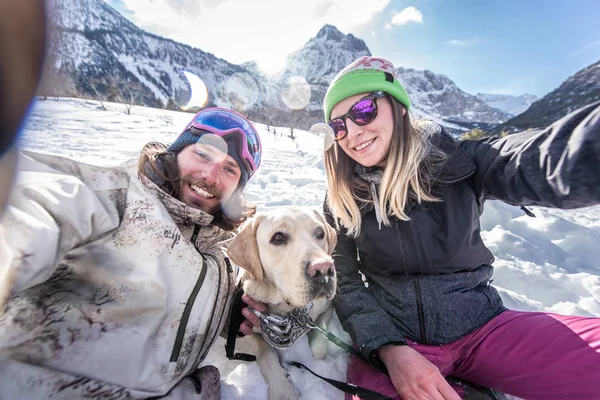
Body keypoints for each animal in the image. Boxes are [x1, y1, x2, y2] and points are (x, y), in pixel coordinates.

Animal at [227, 208, 338, 400]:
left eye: (320, 233)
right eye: (278, 237)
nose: (324, 269)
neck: (288, 309)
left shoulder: (327, 307)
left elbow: (321, 331)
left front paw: (317, 359)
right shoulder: (238, 331)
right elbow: (263, 348)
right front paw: (282, 389)